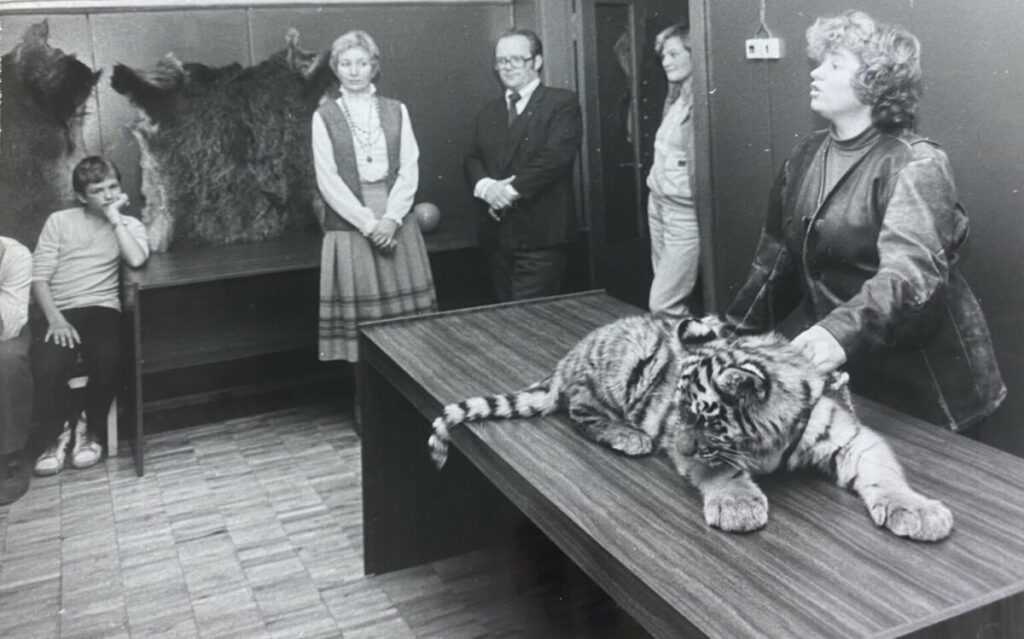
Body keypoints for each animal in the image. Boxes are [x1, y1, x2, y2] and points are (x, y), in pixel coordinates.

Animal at [427, 314, 953, 541]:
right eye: (677, 412)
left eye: (704, 416)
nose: (670, 443)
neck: (771, 440)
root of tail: (567, 357)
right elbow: (720, 471)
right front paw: (738, 505)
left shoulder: (853, 438)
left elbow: (886, 475)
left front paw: (916, 510)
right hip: (622, 362)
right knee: (579, 408)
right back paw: (630, 435)